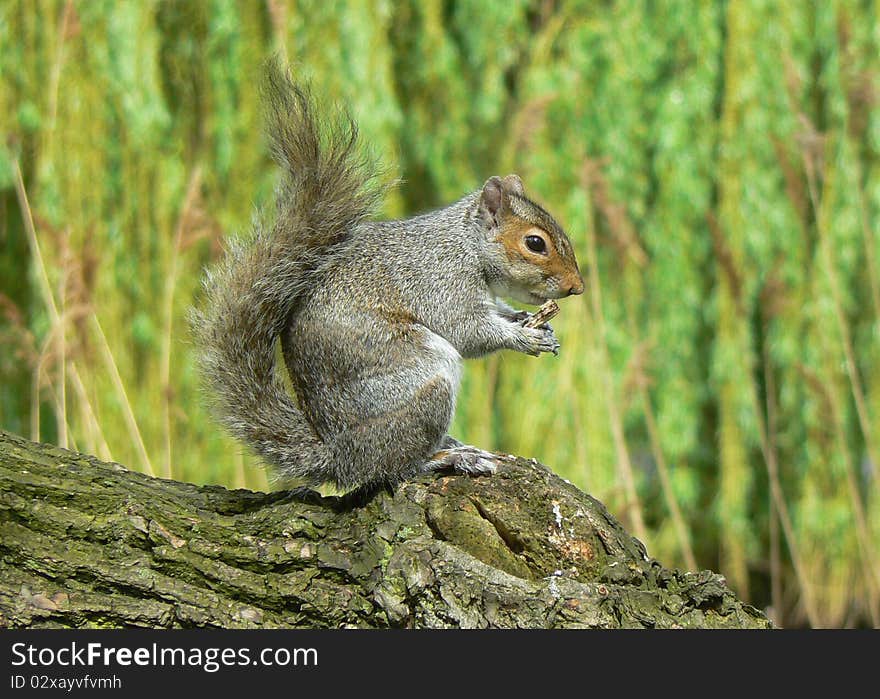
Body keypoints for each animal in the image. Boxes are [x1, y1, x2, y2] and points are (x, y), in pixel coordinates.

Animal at [191, 61, 584, 498]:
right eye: (535, 243)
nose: (577, 287)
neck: (465, 245)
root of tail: (340, 456)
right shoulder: (441, 282)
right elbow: (469, 331)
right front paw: (523, 337)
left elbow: (497, 311)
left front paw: (530, 323)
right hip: (421, 383)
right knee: (396, 466)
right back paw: (447, 458)